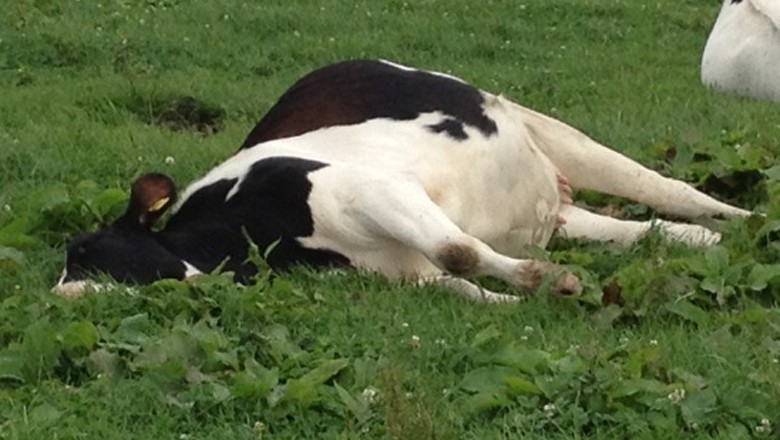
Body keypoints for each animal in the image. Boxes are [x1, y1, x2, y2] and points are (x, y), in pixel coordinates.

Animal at [53, 59, 752, 302]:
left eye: (82, 251)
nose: (59, 296)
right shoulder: (393, 269)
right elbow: (456, 282)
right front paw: (520, 298)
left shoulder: (373, 192)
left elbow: (458, 249)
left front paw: (549, 281)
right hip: (551, 209)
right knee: (648, 227)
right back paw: (706, 243)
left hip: (550, 131)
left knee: (668, 188)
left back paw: (749, 223)